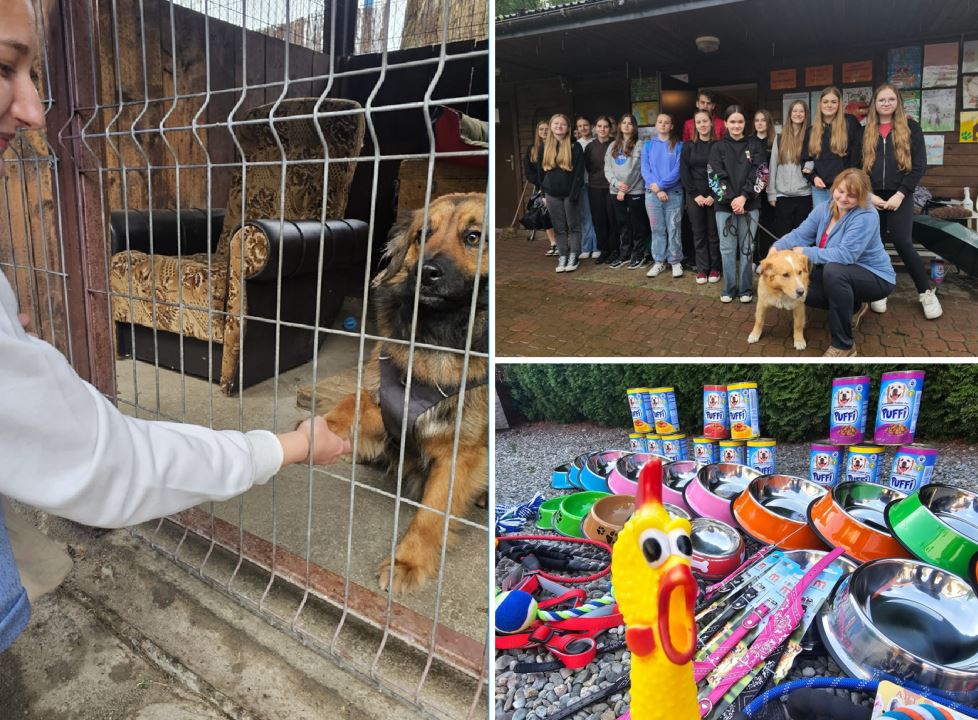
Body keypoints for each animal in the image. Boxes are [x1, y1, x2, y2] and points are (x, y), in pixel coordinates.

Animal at [322, 191, 486, 592]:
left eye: (474, 236)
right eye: (422, 235)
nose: (425, 272)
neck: (435, 339)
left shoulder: (461, 451)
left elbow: (431, 512)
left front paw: (408, 561)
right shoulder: (384, 403)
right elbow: (348, 403)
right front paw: (316, 433)